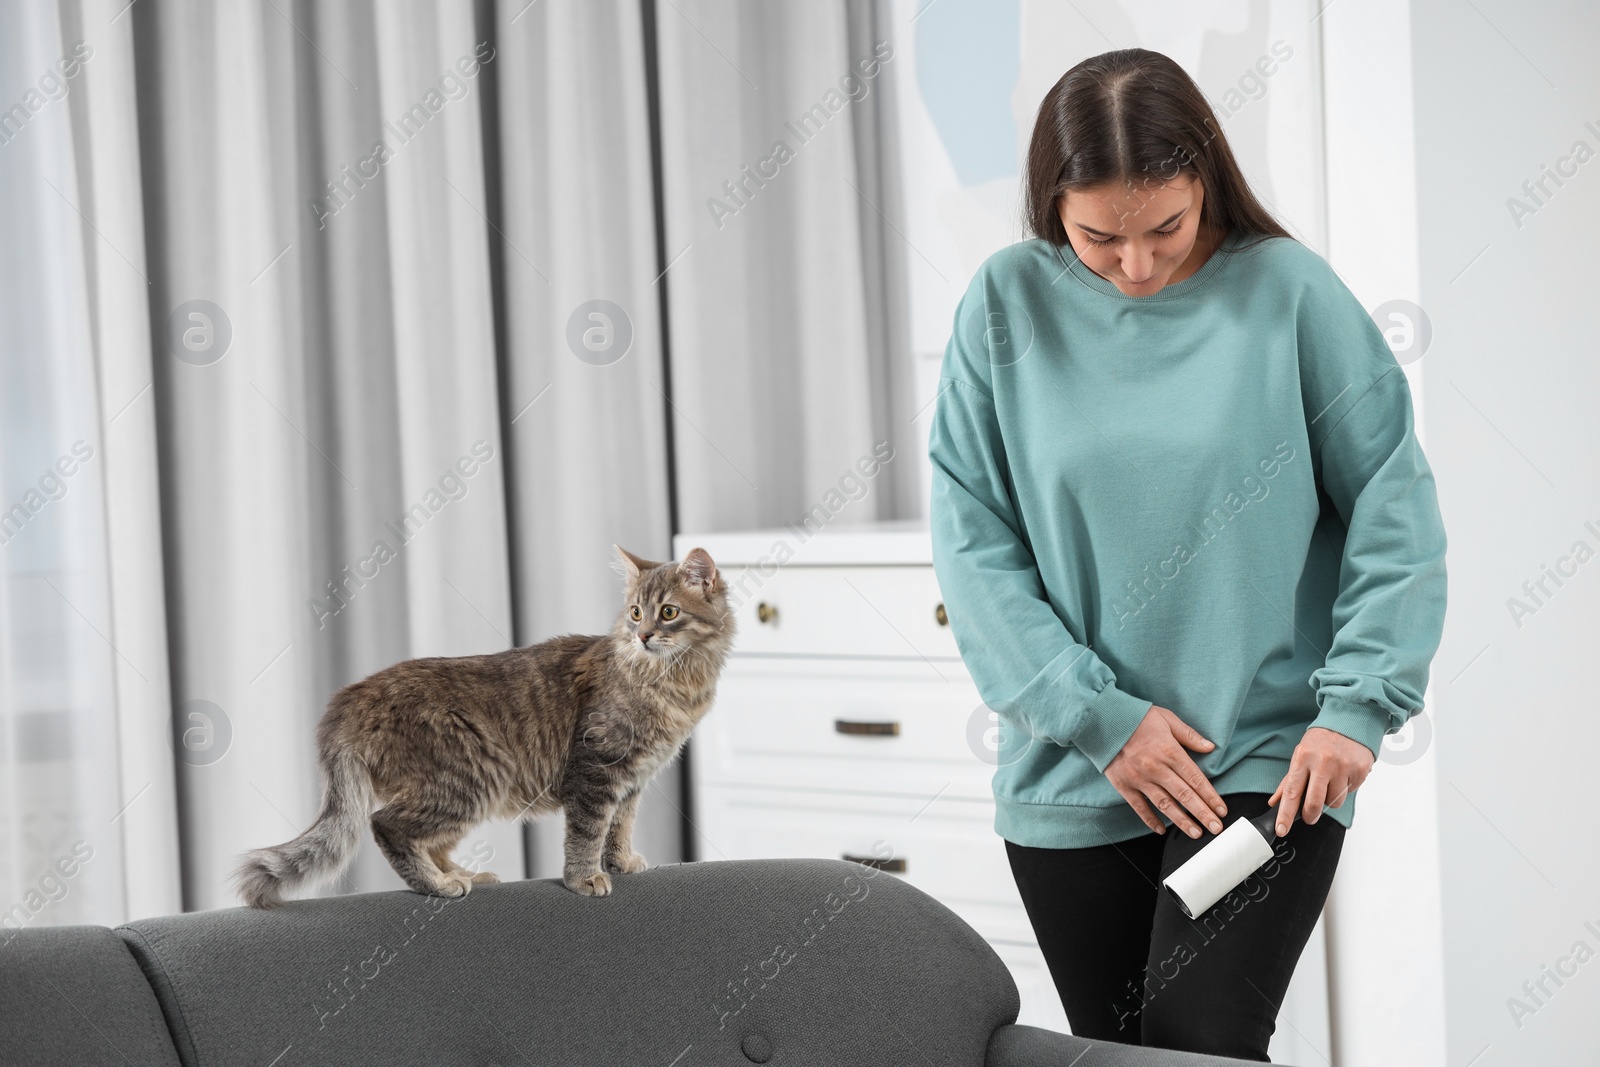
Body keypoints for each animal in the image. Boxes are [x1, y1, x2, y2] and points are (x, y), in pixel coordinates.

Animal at [233, 547, 732, 908]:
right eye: (635, 613)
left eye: (667, 613)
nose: (642, 636)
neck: (673, 682)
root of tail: (349, 698)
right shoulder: (595, 769)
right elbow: (587, 832)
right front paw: (585, 878)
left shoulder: (632, 781)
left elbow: (619, 826)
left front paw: (622, 861)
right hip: (473, 776)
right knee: (386, 825)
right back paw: (438, 885)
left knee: (430, 841)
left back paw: (460, 874)